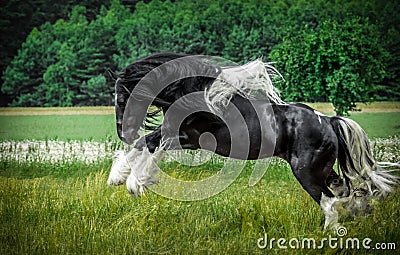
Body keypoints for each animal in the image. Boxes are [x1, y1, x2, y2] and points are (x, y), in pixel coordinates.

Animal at [107, 52, 396, 230]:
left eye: (122, 98)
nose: (123, 132)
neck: (195, 93)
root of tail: (328, 121)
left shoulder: (187, 137)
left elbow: (148, 145)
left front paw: (134, 183)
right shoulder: (179, 135)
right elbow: (144, 146)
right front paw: (118, 178)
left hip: (306, 172)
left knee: (329, 201)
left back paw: (332, 233)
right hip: (323, 169)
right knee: (346, 191)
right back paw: (359, 214)